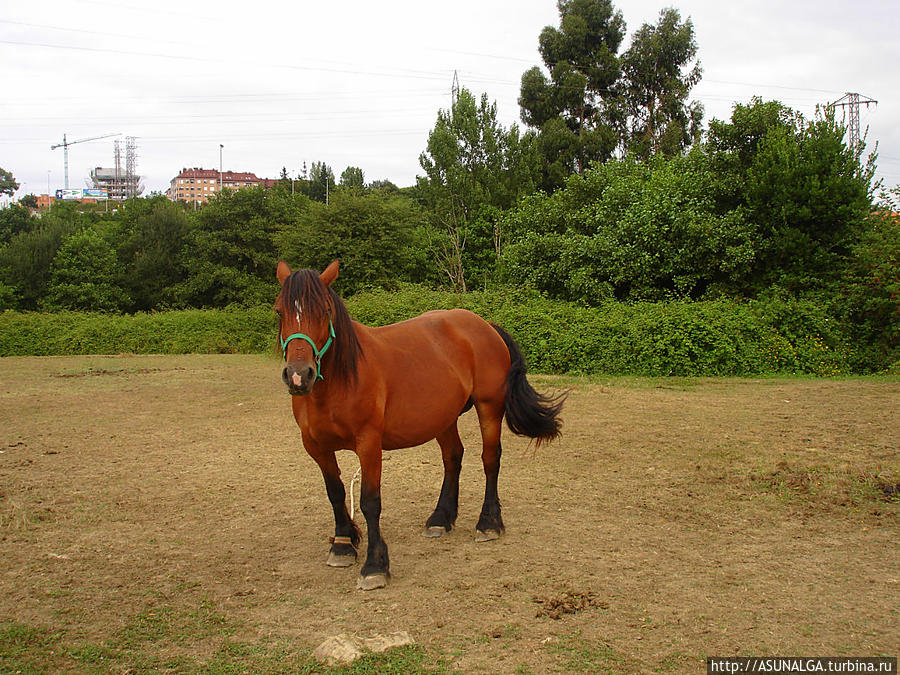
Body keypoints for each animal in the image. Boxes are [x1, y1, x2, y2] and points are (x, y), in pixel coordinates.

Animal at [278, 262, 568, 588]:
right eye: (279, 312)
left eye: (324, 311)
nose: (299, 375)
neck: (340, 381)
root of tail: (485, 325)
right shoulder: (316, 447)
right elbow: (335, 493)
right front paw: (342, 544)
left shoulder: (369, 444)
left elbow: (370, 501)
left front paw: (375, 565)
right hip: (443, 418)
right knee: (453, 457)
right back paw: (441, 518)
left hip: (489, 408)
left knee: (490, 460)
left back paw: (489, 523)